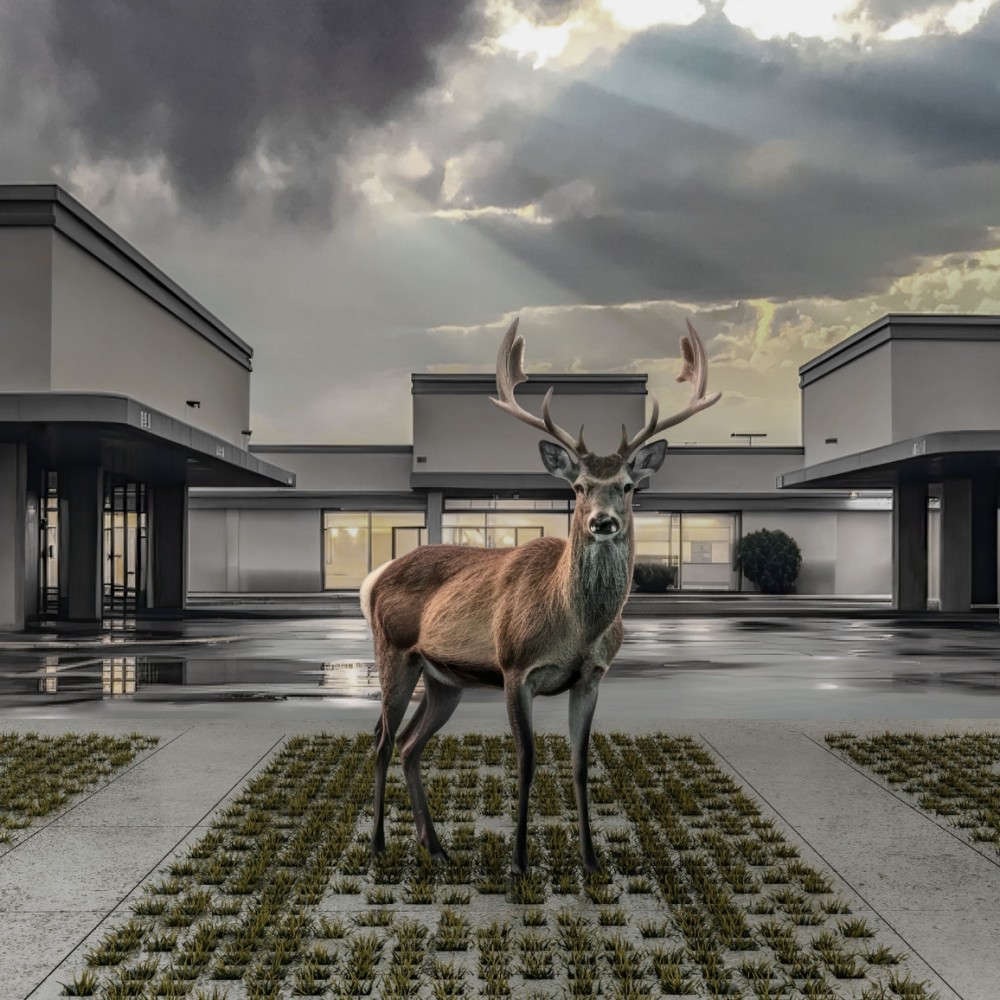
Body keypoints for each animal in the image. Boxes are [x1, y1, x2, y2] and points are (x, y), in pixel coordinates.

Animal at [361, 317, 721, 874]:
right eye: (578, 486)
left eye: (628, 486)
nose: (602, 522)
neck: (576, 628)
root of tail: (374, 578)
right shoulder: (515, 667)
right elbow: (527, 761)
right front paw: (519, 861)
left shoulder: (592, 677)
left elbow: (579, 763)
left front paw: (591, 861)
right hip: (394, 651)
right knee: (380, 740)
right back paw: (379, 844)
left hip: (444, 679)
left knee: (408, 744)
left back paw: (435, 845)